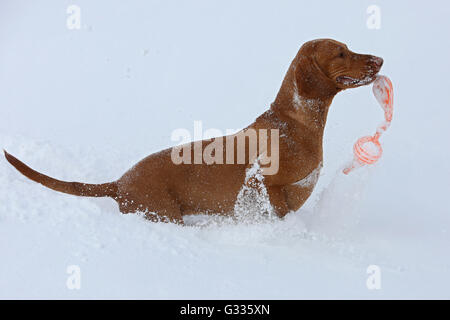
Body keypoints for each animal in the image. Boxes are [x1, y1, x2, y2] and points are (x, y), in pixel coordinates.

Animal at [4, 39, 384, 222]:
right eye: (340, 52)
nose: (379, 60)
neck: (293, 123)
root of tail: (119, 183)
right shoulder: (262, 184)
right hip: (164, 214)